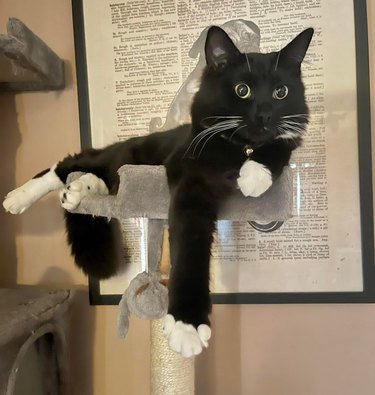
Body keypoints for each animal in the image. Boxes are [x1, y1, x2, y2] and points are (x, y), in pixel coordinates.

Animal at [2, 26, 314, 358]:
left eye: (281, 92)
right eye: (243, 90)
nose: (265, 114)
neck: (240, 148)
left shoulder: (282, 143)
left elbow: (281, 145)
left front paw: (256, 174)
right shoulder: (191, 185)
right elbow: (189, 251)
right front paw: (187, 325)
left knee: (99, 181)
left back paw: (78, 192)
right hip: (118, 157)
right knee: (68, 164)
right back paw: (19, 197)